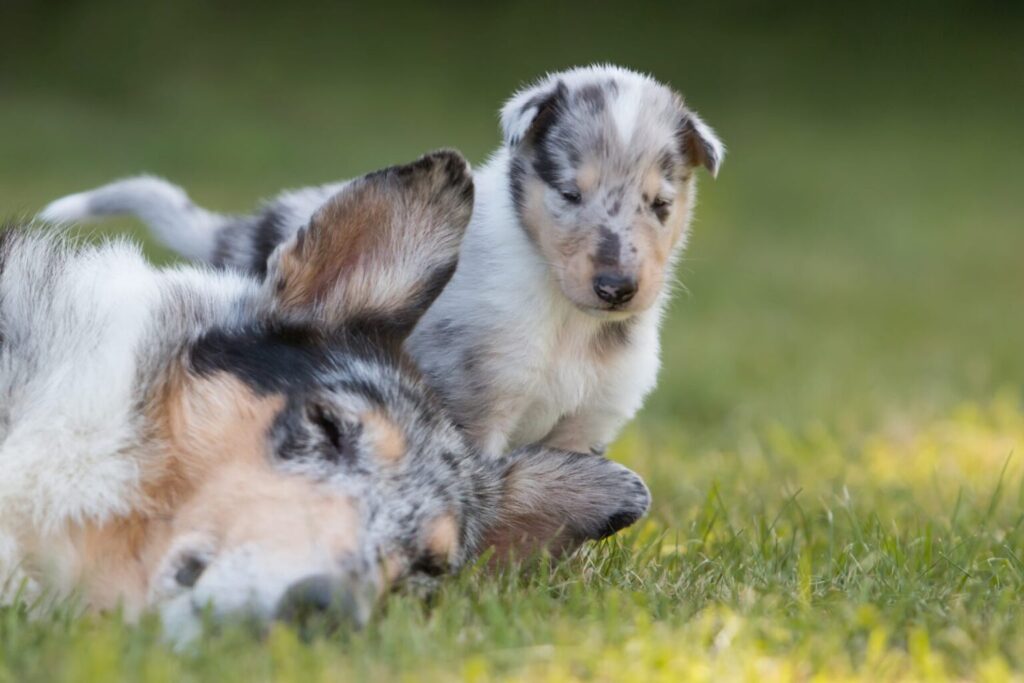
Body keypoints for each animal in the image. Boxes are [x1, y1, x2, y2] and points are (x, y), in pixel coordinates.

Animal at [39, 65, 724, 458]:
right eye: (569, 194)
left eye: (660, 205)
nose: (617, 288)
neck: (566, 320)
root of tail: (244, 233)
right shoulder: (476, 408)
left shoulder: (586, 426)